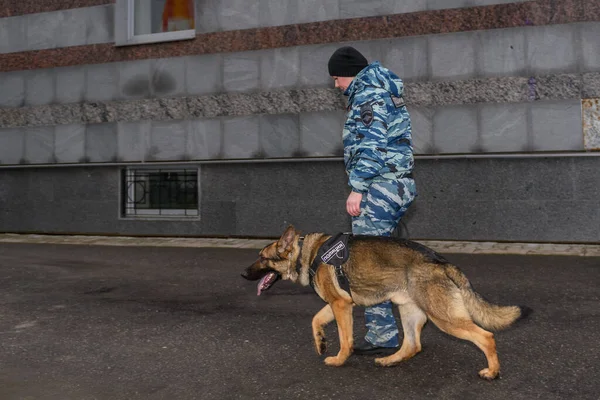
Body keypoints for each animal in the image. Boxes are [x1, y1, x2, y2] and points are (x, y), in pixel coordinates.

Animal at [241, 227, 528, 380]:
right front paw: (321, 341)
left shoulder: (341, 306)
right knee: (413, 345)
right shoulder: (338, 303)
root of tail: (441, 262)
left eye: (262, 258)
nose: (242, 274)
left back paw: (492, 371)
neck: (307, 255)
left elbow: (345, 339)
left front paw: (339, 359)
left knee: (486, 336)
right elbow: (315, 320)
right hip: (409, 311)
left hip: (444, 318)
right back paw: (390, 360)